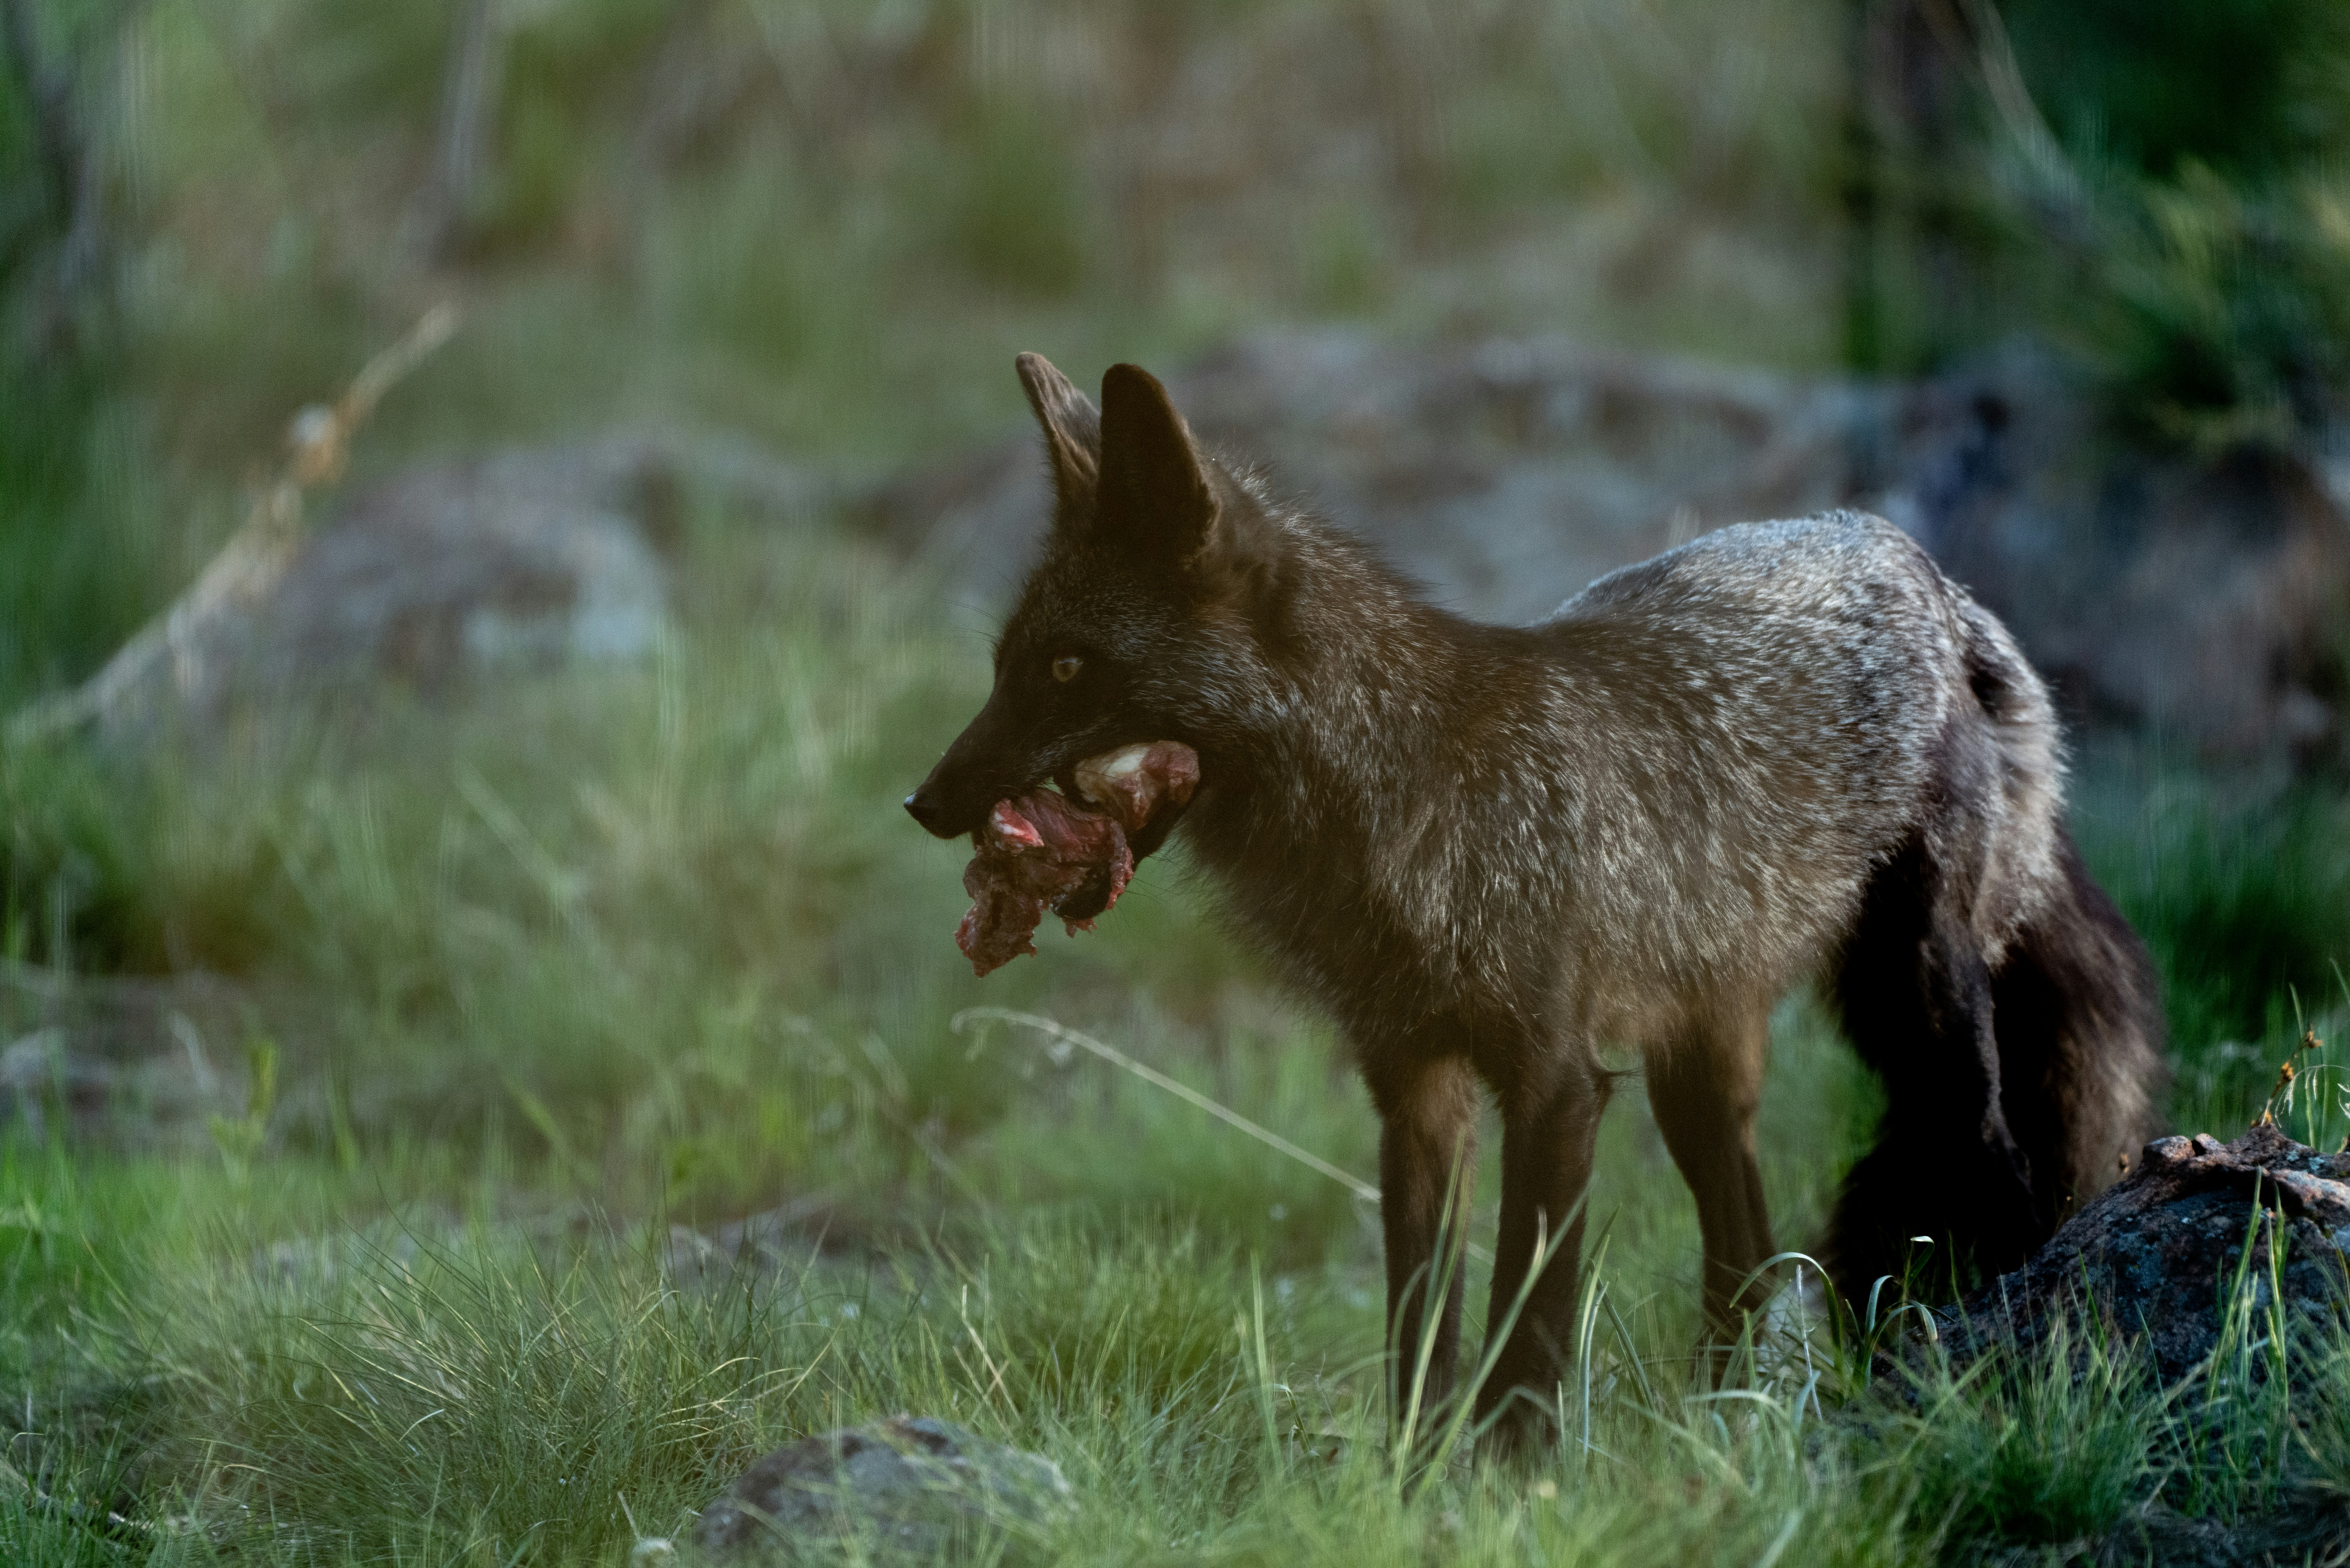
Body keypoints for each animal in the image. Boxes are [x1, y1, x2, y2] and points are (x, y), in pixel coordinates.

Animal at [904, 353, 2167, 1444]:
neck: (1406, 803)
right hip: (1698, 1076)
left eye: (1067, 668)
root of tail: (1915, 562)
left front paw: (1515, 1481)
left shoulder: (1556, 1084)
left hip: (1916, 1011)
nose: (922, 801)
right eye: (1006, 666)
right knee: (1748, 1259)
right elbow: (1420, 1333)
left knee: (1989, 1161)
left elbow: (1528, 1327)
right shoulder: (1415, 1084)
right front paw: (1410, 1487)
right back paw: (1716, 1436)